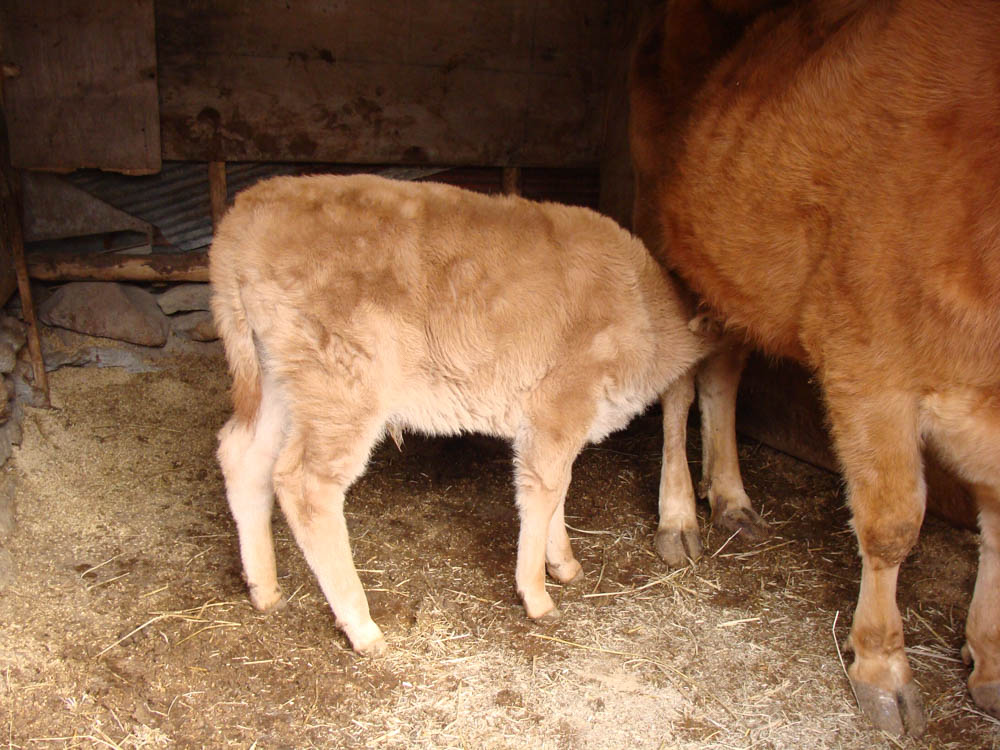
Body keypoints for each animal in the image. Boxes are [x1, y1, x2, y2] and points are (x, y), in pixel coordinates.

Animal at [211, 173, 717, 656]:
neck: (644, 309)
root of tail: (241, 218)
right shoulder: (558, 406)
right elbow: (543, 492)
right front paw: (536, 594)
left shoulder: (563, 421)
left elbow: (561, 487)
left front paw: (564, 563)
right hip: (342, 386)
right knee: (305, 483)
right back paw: (361, 625)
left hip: (278, 380)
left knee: (243, 455)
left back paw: (264, 590)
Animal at [630, 0, 1000, 735]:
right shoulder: (867, 363)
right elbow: (893, 522)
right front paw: (882, 669)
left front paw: (990, 662)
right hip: (668, 247)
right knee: (678, 386)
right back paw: (679, 516)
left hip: (736, 271)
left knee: (723, 372)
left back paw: (732, 497)